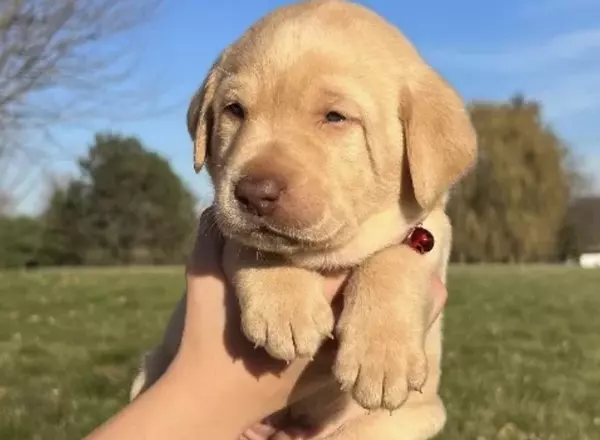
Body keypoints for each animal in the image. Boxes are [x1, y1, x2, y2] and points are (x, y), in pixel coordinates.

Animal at [132, 0, 478, 436]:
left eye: (335, 117)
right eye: (234, 111)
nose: (254, 193)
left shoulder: (433, 230)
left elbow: (394, 259)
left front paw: (382, 355)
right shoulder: (220, 223)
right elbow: (256, 245)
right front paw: (285, 309)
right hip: (150, 369)